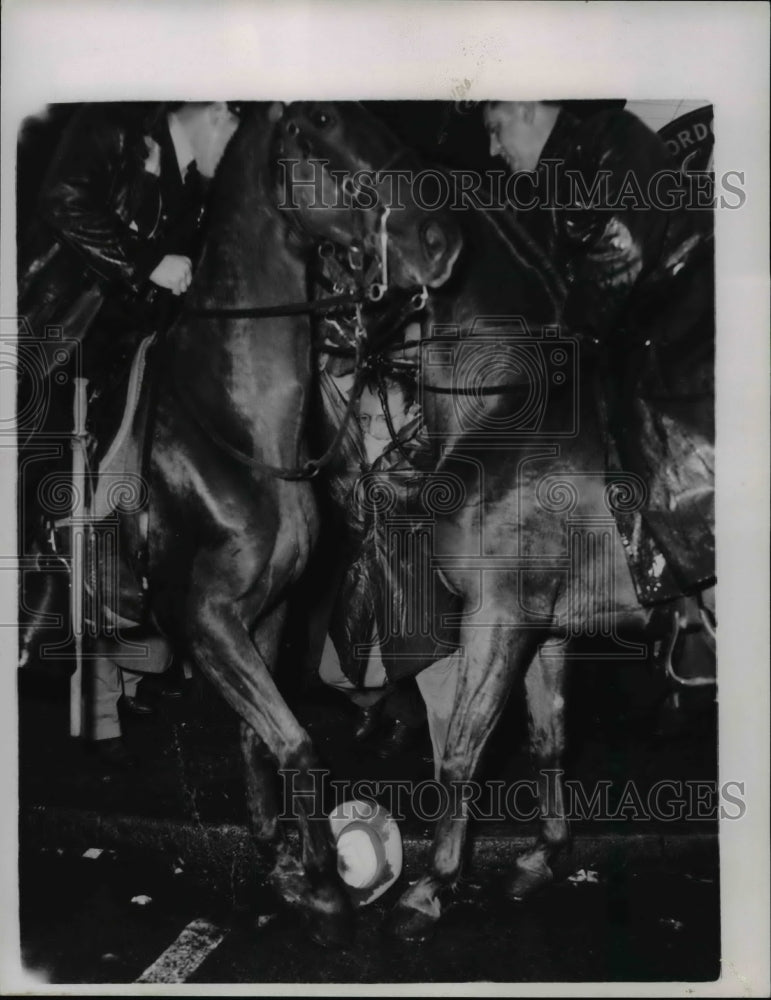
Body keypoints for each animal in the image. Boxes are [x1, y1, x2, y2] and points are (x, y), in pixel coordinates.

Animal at [21, 101, 462, 944]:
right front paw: (324, 886)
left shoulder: (268, 612)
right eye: (322, 124)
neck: (240, 433)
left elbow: (263, 738)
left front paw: (282, 861)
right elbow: (298, 741)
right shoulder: (204, 620)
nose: (440, 238)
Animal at [278, 97, 716, 940]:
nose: (329, 340)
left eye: (330, 131)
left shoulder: (497, 616)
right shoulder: (543, 628)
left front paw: (429, 887)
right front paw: (542, 857)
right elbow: (548, 737)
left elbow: (460, 750)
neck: (506, 407)